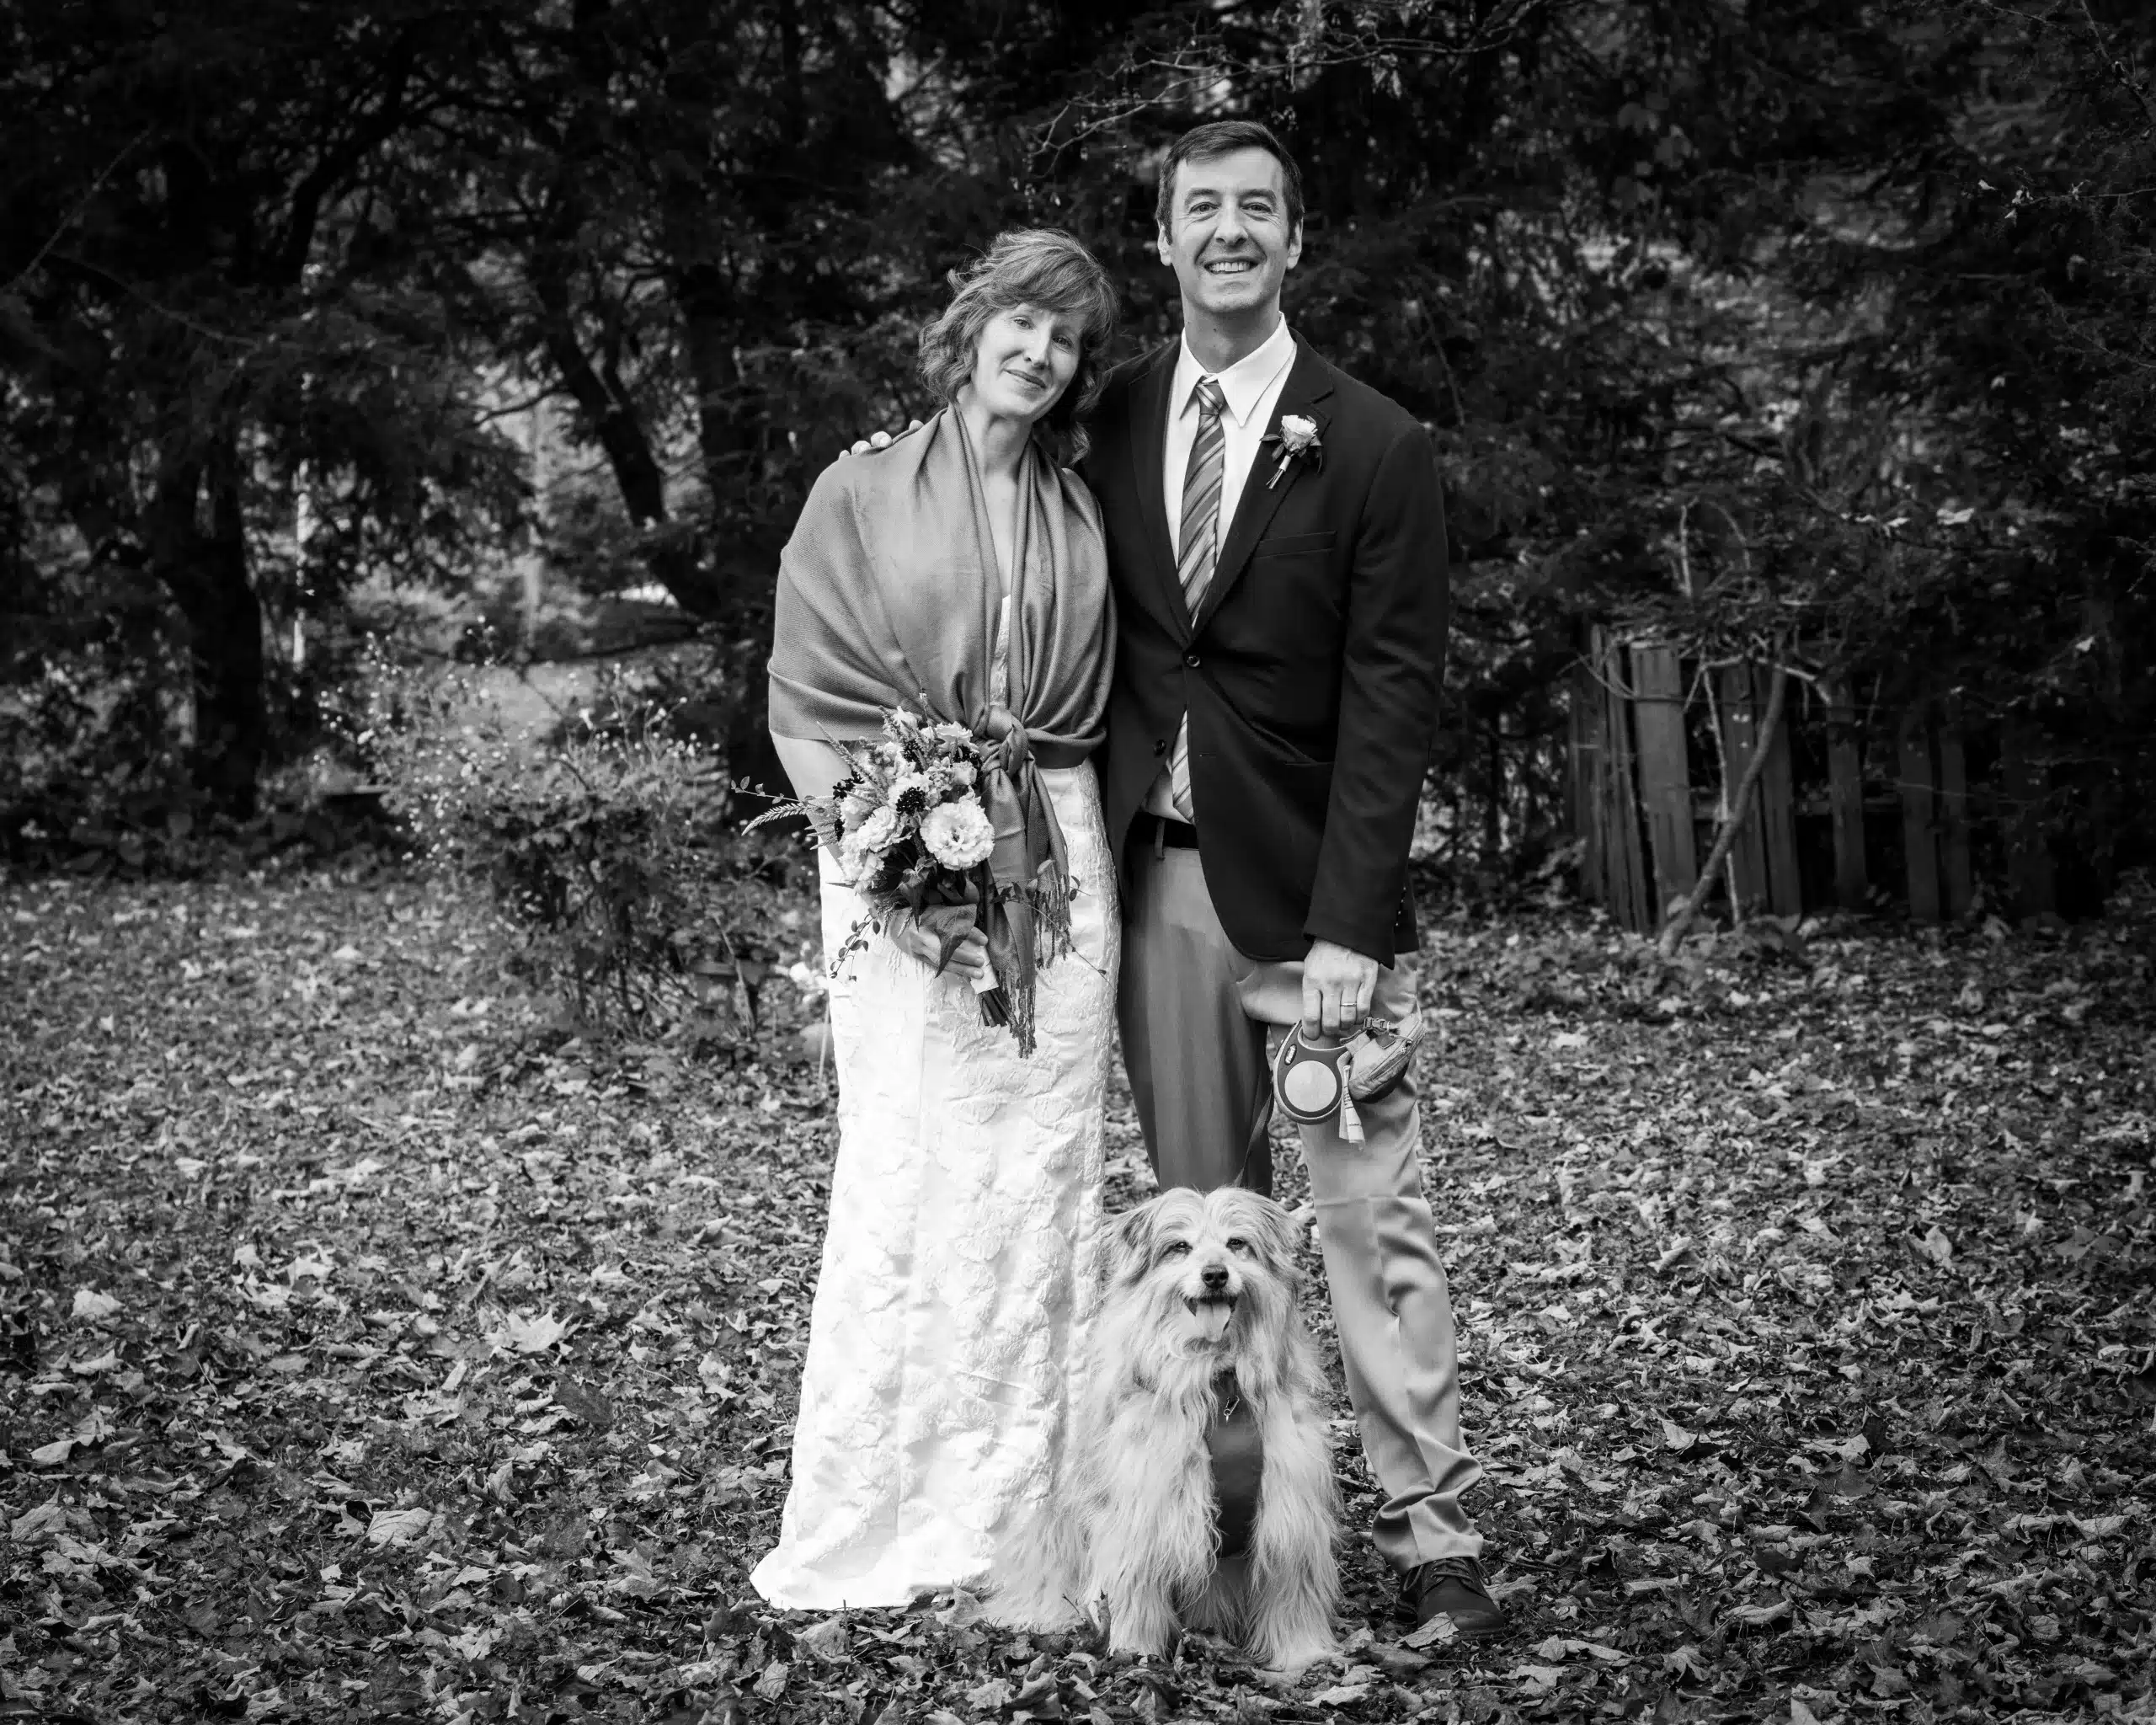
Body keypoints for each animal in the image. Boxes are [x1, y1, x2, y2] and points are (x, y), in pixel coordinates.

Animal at [989, 1186, 1341, 1672]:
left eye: (1237, 1243)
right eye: (1180, 1247)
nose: (1215, 1275)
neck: (1218, 1380)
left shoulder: (1289, 1514)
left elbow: (1292, 1593)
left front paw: (1301, 1655)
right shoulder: (1142, 1513)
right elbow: (1136, 1586)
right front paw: (1136, 1653)